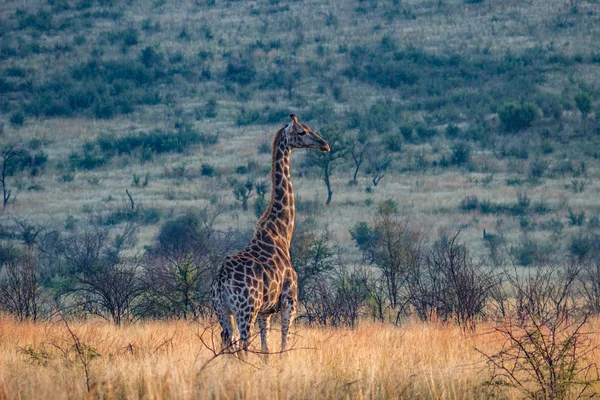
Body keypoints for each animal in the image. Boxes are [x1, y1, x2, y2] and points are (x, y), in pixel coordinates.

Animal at [212, 114, 332, 354]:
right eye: (302, 131)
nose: (324, 144)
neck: (281, 233)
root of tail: (220, 281)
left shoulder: (265, 312)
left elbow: (266, 349)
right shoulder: (289, 302)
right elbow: (284, 345)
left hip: (223, 312)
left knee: (228, 344)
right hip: (245, 310)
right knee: (243, 346)